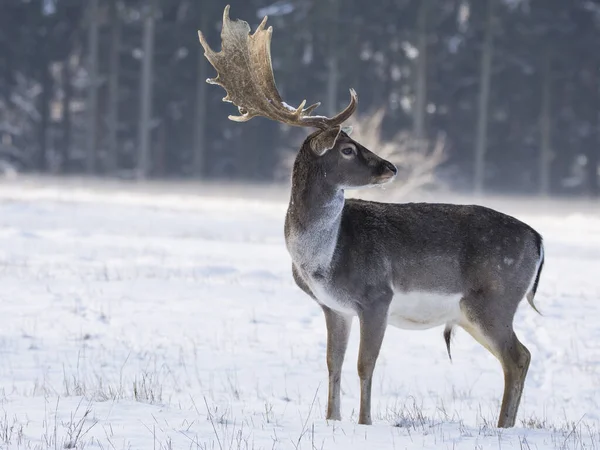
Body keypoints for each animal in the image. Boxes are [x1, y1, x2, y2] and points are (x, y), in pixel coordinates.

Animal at [199, 7, 548, 428]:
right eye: (347, 149)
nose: (391, 167)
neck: (323, 259)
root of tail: (539, 240)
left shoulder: (377, 294)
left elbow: (366, 365)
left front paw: (364, 423)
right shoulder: (334, 307)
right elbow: (333, 364)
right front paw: (332, 419)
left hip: (493, 297)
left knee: (519, 356)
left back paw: (503, 428)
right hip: (471, 311)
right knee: (518, 356)